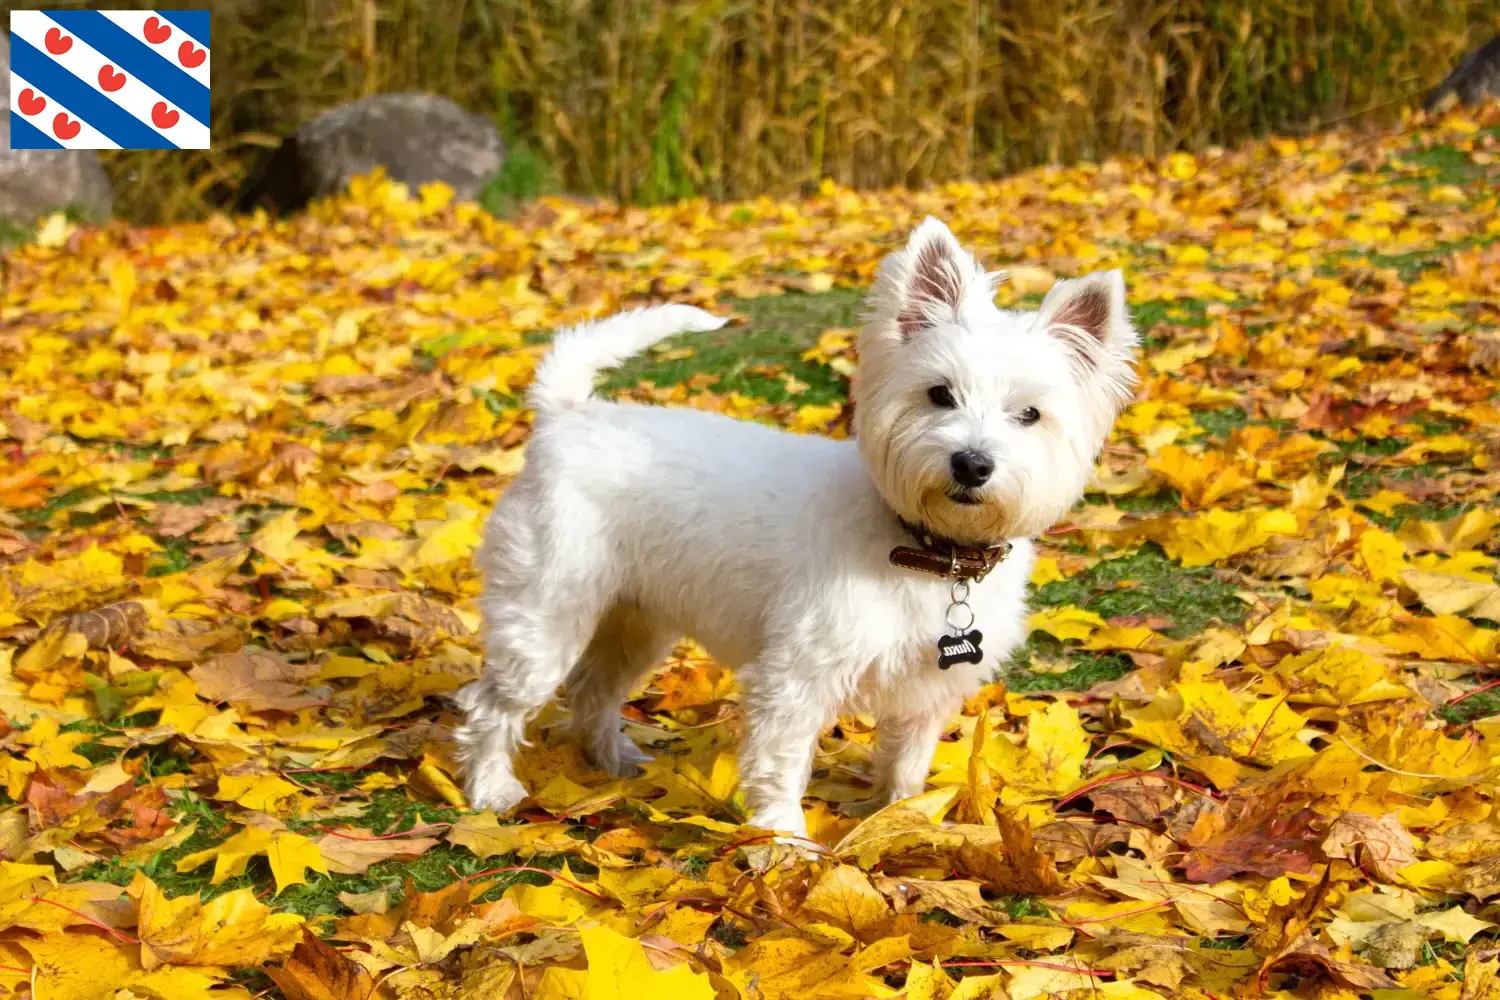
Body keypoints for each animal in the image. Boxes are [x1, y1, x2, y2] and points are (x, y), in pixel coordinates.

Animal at [456, 218, 1134, 839]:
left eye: (1030, 414)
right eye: (940, 394)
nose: (971, 463)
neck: (927, 552)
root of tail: (566, 416)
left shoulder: (925, 692)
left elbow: (906, 767)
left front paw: (900, 823)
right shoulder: (797, 676)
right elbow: (782, 765)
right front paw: (785, 844)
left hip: (635, 622)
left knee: (593, 691)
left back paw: (614, 761)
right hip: (547, 618)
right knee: (494, 704)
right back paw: (491, 788)